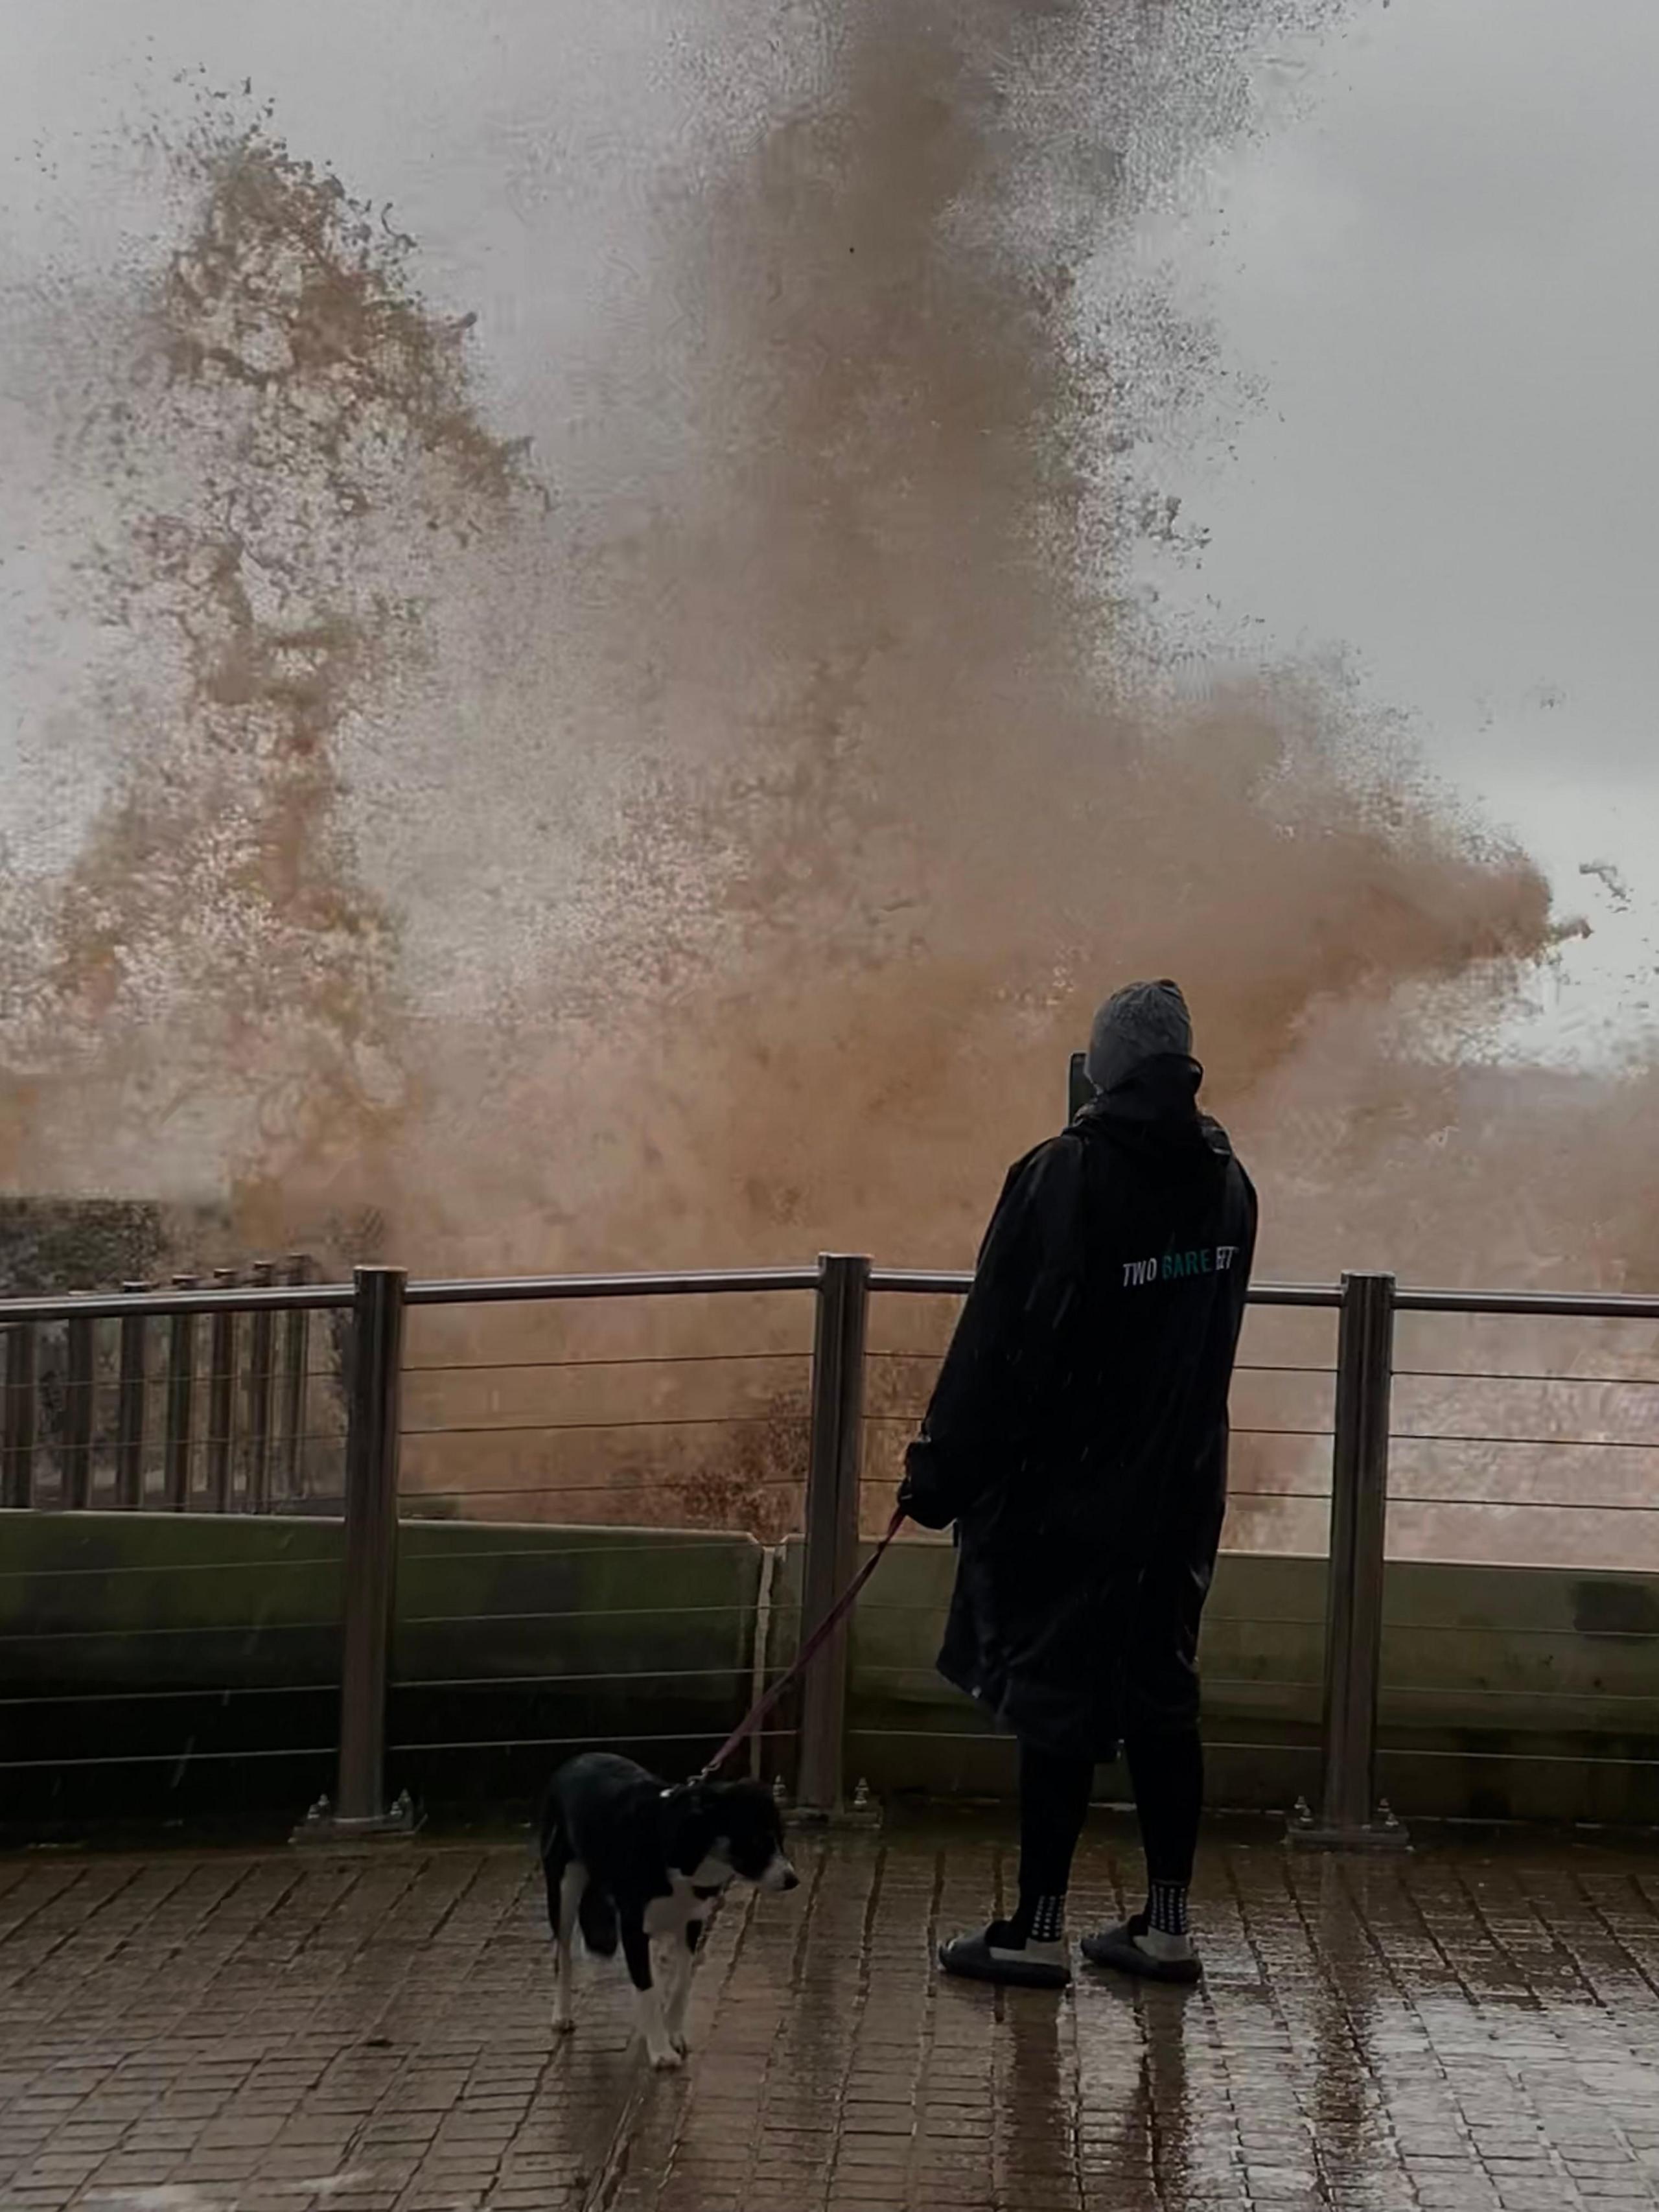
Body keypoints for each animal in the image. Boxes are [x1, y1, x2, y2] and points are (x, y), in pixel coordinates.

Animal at [542, 1752, 800, 2061]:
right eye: (757, 1841)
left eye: (781, 1839)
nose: (793, 1880)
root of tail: (574, 1761)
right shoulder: (632, 1927)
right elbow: (648, 1987)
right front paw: (661, 2051)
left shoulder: (692, 1923)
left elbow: (680, 1982)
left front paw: (673, 2034)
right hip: (563, 1893)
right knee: (563, 1956)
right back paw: (561, 2014)